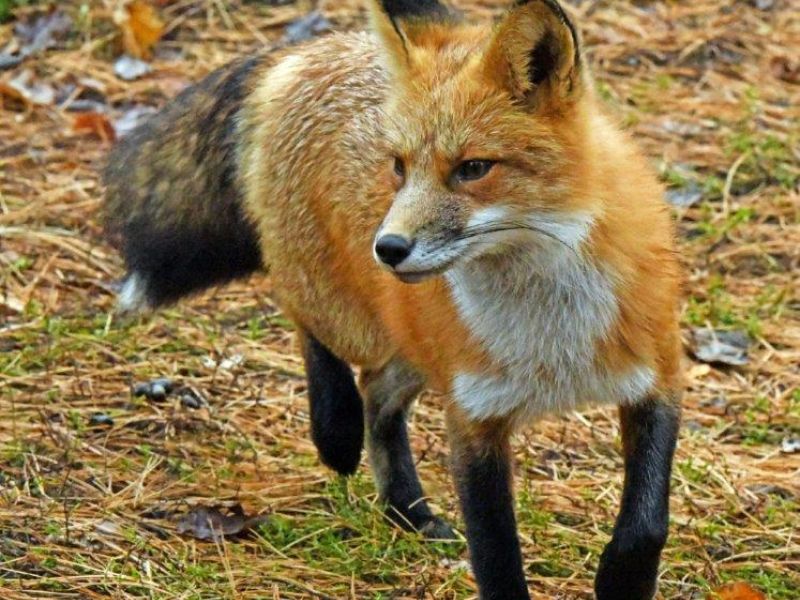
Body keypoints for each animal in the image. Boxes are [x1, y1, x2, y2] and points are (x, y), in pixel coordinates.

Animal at [103, 0, 683, 598]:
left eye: (473, 168)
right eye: (399, 166)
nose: (388, 248)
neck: (550, 331)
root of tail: (306, 52)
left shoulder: (655, 378)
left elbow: (646, 523)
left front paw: (623, 579)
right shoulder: (473, 419)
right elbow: (496, 556)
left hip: (413, 349)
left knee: (377, 395)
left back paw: (406, 509)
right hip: (347, 314)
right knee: (310, 328)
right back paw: (334, 430)